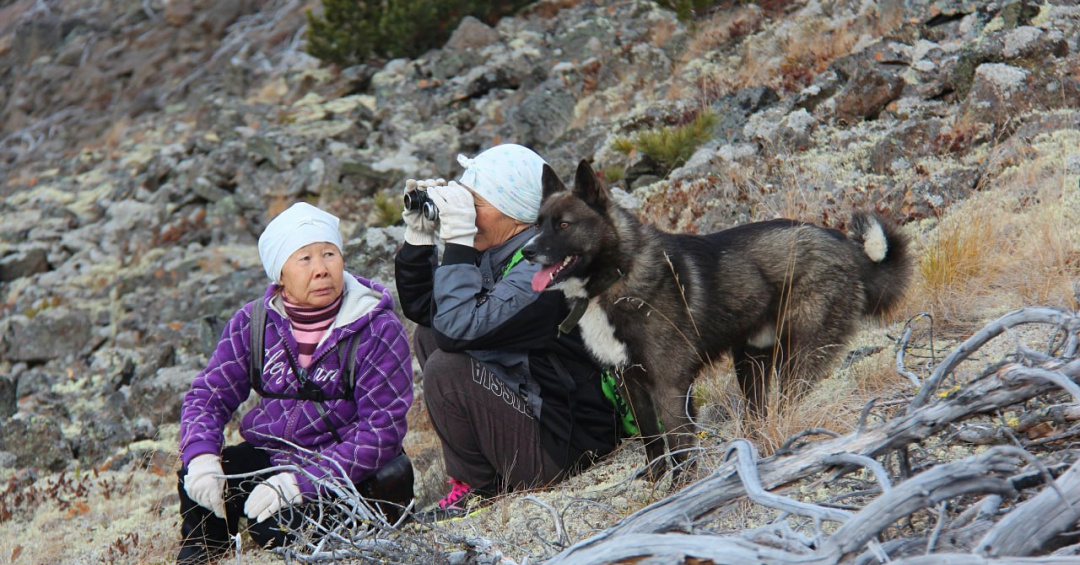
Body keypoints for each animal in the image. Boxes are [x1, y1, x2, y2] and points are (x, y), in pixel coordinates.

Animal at [522, 160, 911, 479]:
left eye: (563, 224)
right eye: (538, 224)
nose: (526, 251)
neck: (616, 276)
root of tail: (845, 245)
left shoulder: (669, 386)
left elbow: (679, 445)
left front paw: (682, 491)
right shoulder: (629, 382)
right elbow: (652, 442)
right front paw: (657, 487)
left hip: (798, 358)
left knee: (788, 403)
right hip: (751, 363)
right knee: (759, 413)